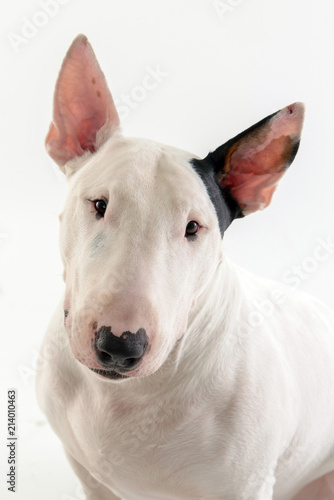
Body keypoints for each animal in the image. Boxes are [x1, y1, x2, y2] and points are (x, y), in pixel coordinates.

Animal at [36, 33, 334, 498]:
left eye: (193, 228)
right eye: (100, 204)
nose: (120, 346)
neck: (126, 398)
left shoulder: (247, 485)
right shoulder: (87, 472)